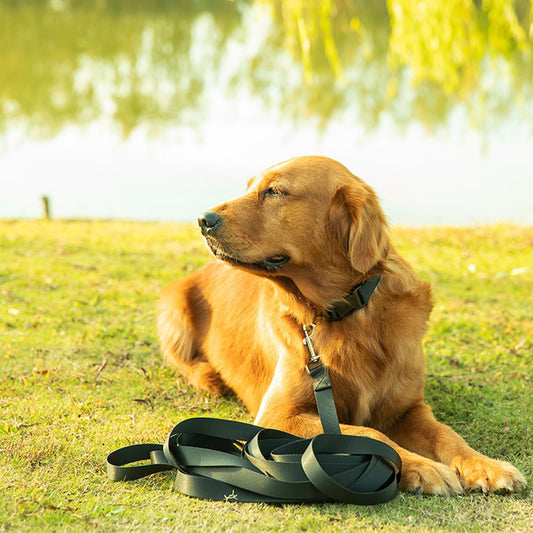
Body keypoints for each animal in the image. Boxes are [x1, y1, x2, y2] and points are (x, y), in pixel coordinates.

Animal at [156, 155, 524, 494]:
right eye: (249, 187)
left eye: (274, 191)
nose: (203, 220)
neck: (346, 314)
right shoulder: (278, 416)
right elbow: (371, 434)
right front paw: (424, 468)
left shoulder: (408, 409)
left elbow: (447, 434)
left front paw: (485, 465)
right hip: (171, 311)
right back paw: (210, 376)